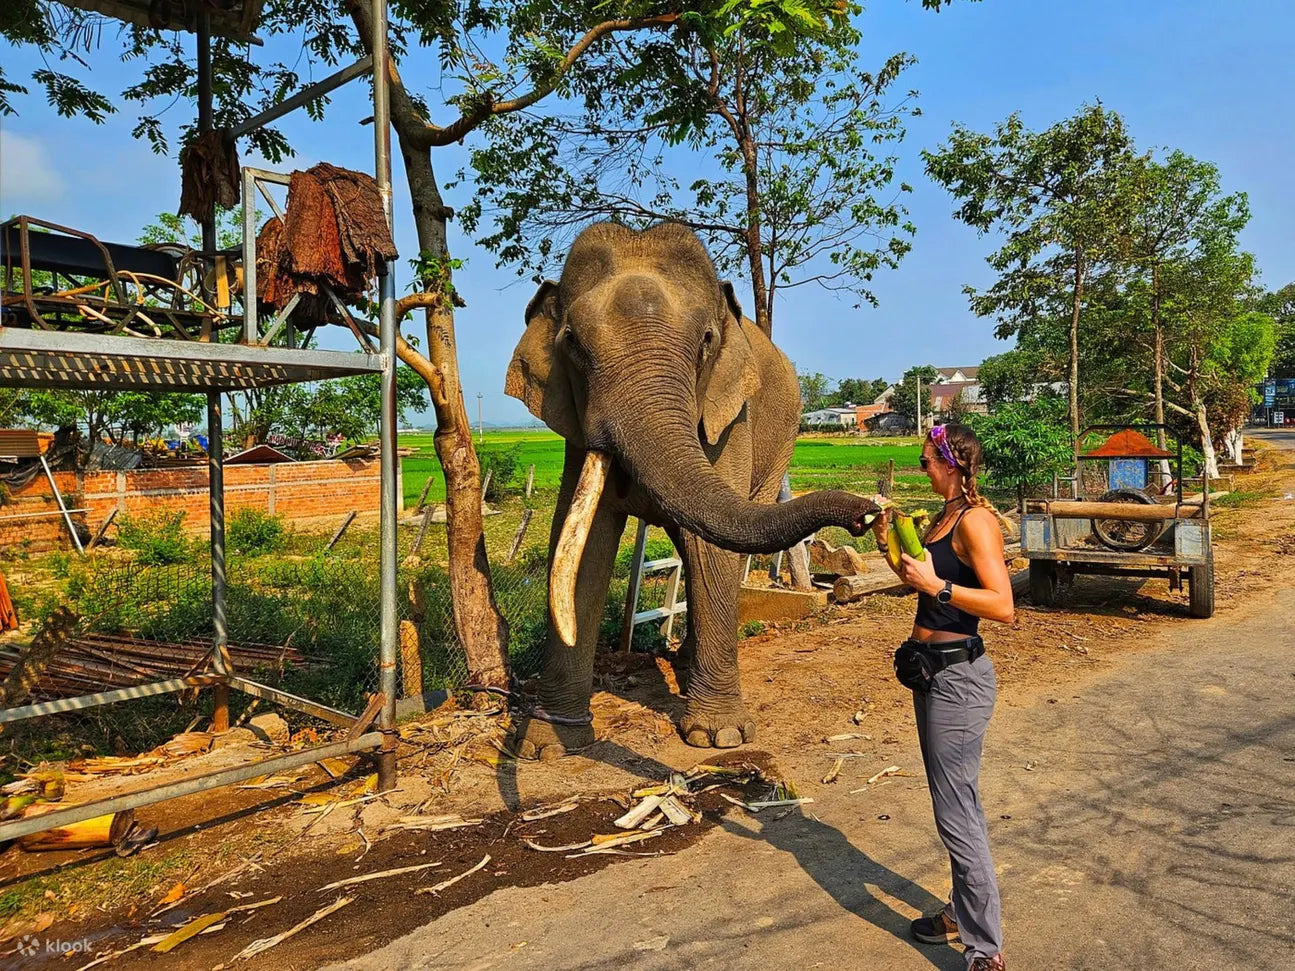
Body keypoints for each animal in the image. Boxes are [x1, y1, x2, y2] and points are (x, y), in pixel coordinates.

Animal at [499, 223, 875, 766]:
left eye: (706, 342)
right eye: (571, 342)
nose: (868, 515)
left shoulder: (729, 419)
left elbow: (712, 551)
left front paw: (721, 738)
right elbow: (579, 549)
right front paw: (546, 745)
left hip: (779, 444)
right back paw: (682, 659)